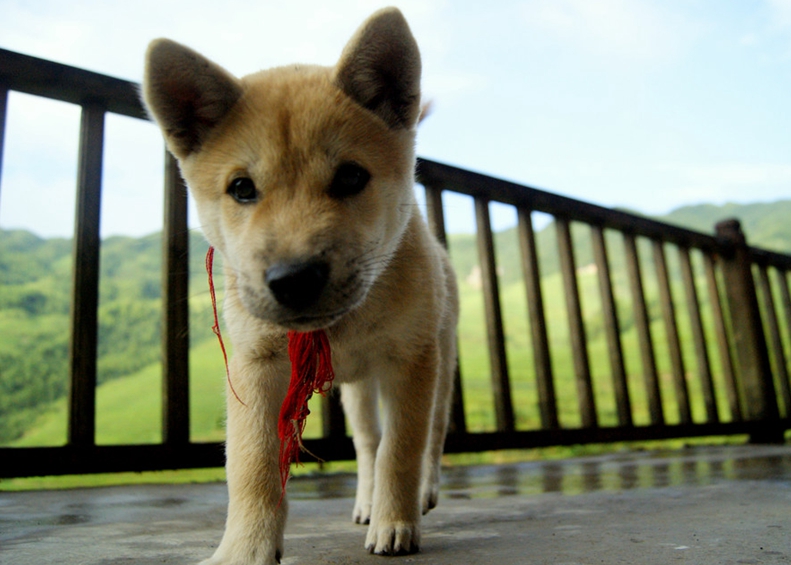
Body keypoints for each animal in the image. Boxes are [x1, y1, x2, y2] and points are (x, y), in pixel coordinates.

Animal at [142, 7, 458, 564]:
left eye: (351, 177)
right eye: (241, 188)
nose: (293, 279)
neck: (342, 324)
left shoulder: (410, 359)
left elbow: (403, 449)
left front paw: (396, 523)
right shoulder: (255, 364)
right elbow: (252, 465)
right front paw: (245, 548)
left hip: (440, 364)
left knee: (429, 437)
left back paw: (419, 494)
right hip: (357, 392)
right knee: (368, 443)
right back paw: (366, 502)